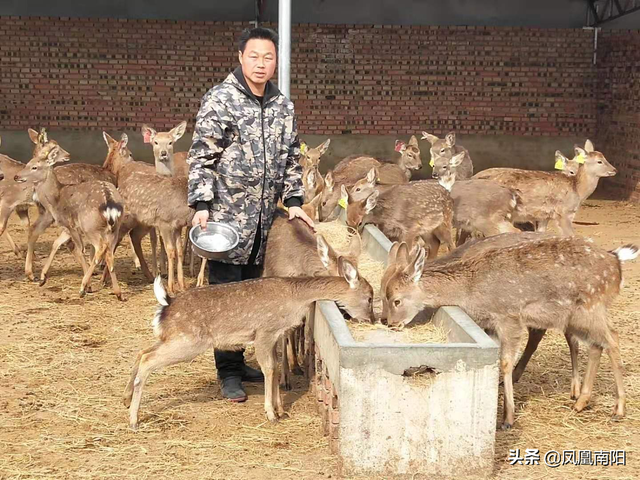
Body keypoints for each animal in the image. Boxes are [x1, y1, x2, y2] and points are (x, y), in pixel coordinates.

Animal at [13, 145, 125, 300]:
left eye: (34, 167)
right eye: (28, 163)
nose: (16, 176)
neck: (56, 198)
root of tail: (110, 203)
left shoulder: (70, 225)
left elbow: (79, 249)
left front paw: (88, 286)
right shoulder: (66, 226)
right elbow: (56, 243)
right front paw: (42, 277)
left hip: (90, 227)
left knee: (100, 248)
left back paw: (82, 288)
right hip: (114, 228)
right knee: (109, 253)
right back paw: (118, 292)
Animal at [125, 253, 376, 430]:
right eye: (370, 297)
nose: (371, 319)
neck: (295, 299)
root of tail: (166, 304)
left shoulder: (274, 336)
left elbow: (274, 368)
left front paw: (280, 409)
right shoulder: (265, 331)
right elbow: (269, 369)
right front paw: (271, 414)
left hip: (173, 337)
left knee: (141, 351)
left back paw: (126, 399)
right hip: (188, 341)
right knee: (148, 359)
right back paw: (134, 420)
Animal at [380, 235, 636, 428]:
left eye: (396, 300)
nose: (389, 323)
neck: (470, 288)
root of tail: (616, 264)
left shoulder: (508, 317)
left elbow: (504, 362)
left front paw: (507, 418)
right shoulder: (491, 325)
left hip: (591, 305)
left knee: (612, 339)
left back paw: (618, 409)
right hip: (576, 316)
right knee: (596, 344)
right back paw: (580, 401)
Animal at [476, 140, 616, 235]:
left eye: (604, 157)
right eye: (599, 161)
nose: (614, 170)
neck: (578, 191)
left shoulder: (544, 216)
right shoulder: (563, 213)